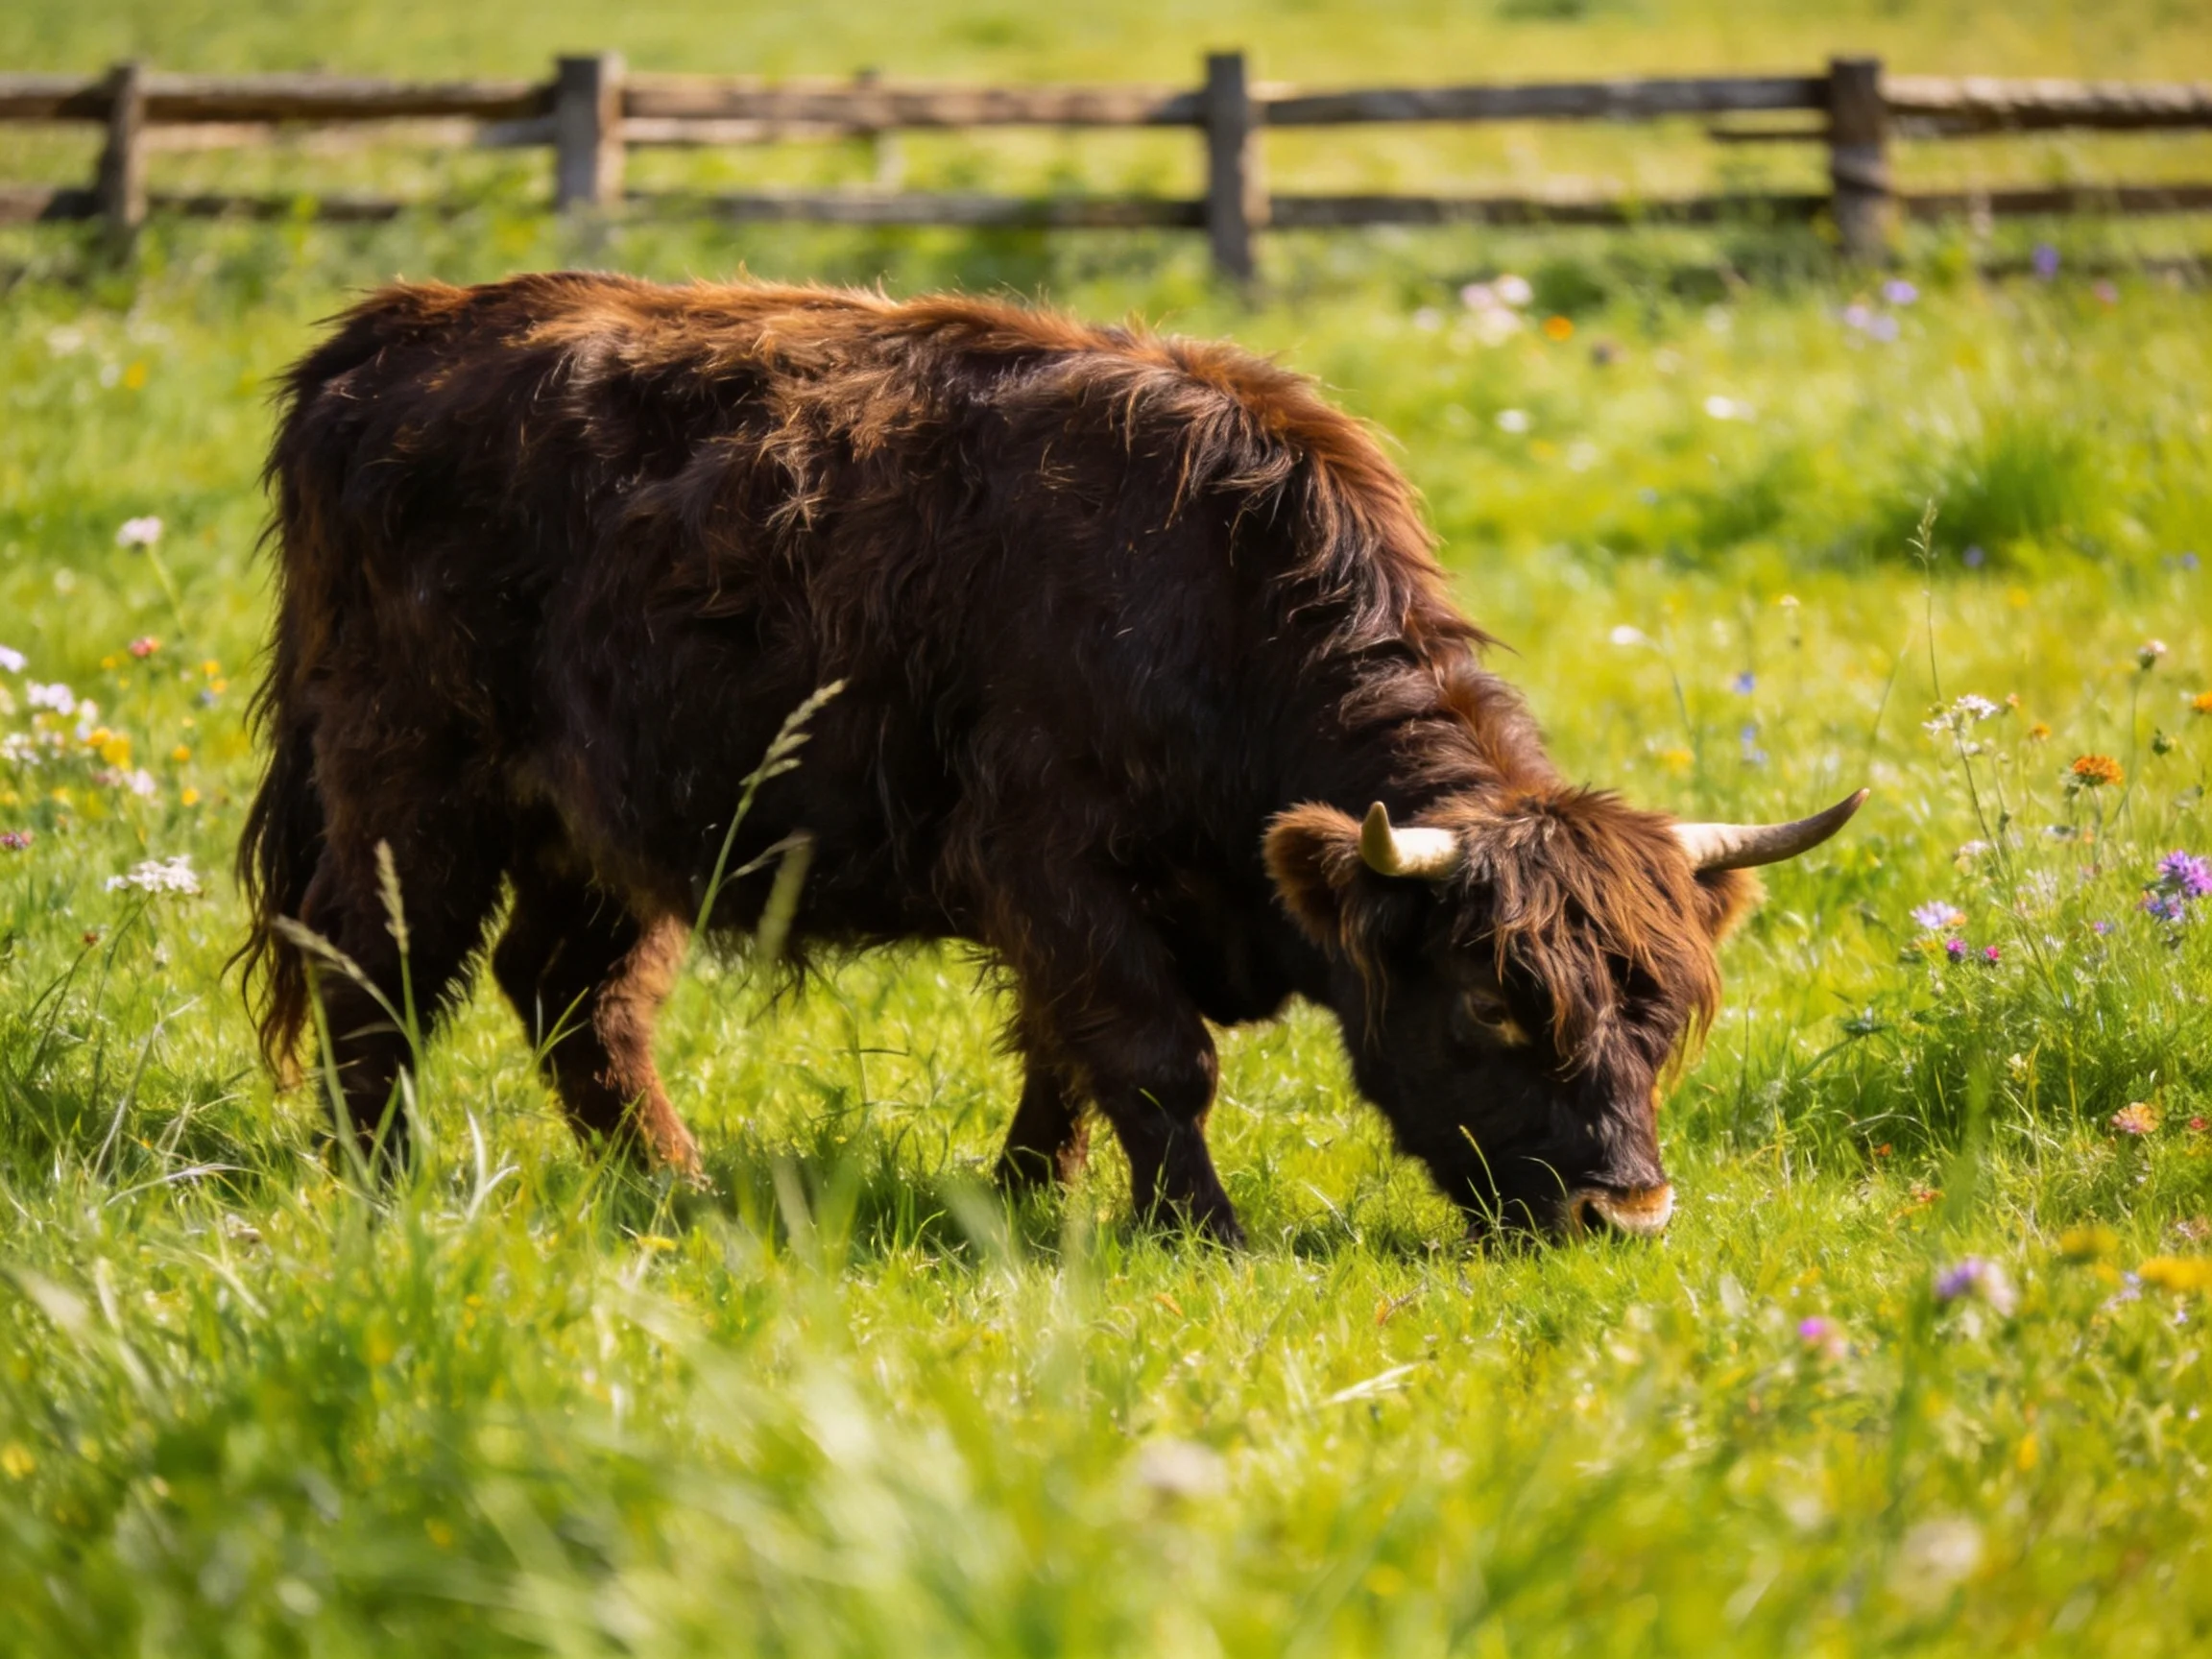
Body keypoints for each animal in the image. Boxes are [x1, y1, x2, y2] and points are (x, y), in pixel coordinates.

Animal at [239, 273, 1863, 1245]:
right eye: (1494, 1002)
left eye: (1670, 1011)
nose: (1627, 1215)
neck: (1210, 601)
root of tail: (392, 333)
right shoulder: (1056, 865)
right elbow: (1153, 1057)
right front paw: (1198, 1233)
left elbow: (1064, 1061)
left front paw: (1025, 1199)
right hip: (409, 782)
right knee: (375, 970)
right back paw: (379, 1185)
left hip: (612, 821)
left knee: (576, 1000)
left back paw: (681, 1187)